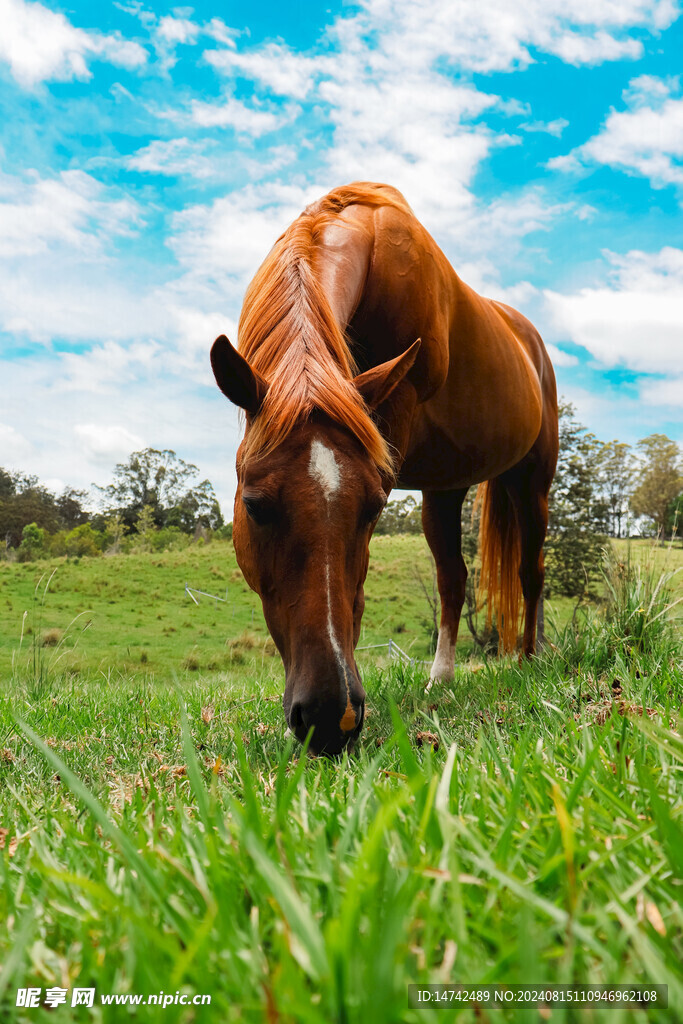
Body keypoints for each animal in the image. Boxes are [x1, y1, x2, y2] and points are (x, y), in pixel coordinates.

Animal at [210, 182, 557, 753]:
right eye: (255, 507)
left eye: (373, 508)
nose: (329, 716)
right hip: (446, 489)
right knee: (453, 579)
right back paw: (441, 678)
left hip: (532, 483)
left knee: (531, 571)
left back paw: (529, 658)